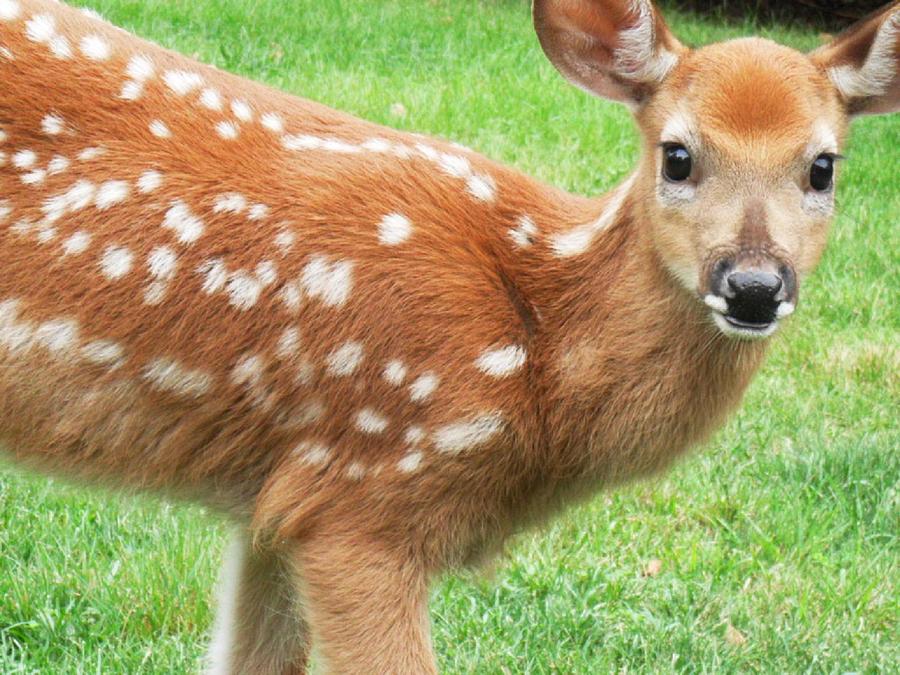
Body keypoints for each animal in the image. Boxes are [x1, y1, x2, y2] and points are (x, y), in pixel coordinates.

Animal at [0, 0, 896, 672]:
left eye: (822, 167)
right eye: (678, 155)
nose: (754, 285)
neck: (537, 352)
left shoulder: (274, 502)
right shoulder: (367, 491)